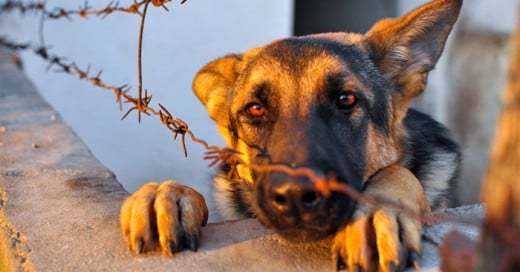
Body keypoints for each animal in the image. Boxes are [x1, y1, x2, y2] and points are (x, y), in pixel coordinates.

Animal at [121, 0, 464, 270]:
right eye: (255, 108)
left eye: (346, 99)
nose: (296, 195)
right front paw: (165, 192)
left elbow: (396, 173)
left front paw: (378, 209)